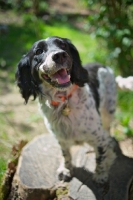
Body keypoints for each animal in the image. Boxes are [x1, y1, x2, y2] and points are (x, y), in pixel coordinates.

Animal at [15, 36, 116, 183]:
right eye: (39, 51)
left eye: (63, 45)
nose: (60, 55)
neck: (63, 100)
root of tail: (102, 65)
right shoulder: (60, 138)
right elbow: (65, 154)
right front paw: (66, 169)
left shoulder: (98, 137)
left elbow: (101, 156)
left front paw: (100, 175)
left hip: (108, 110)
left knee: (108, 129)